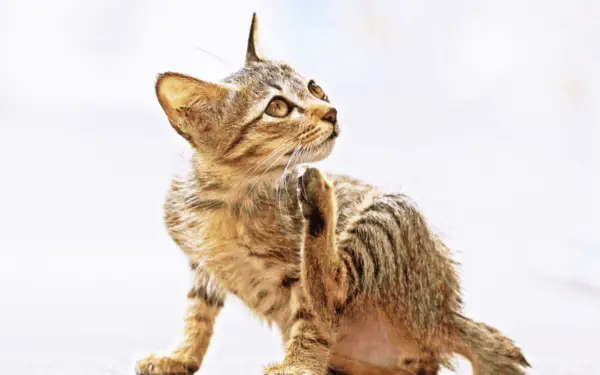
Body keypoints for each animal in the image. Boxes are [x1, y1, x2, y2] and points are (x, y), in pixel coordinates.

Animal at [134, 13, 528, 375]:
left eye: (315, 88)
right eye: (277, 107)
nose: (332, 112)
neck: (230, 199)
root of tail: (447, 314)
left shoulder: (294, 273)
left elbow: (312, 318)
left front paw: (297, 365)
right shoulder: (203, 266)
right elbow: (197, 313)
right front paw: (180, 355)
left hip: (389, 211)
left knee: (336, 288)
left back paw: (320, 198)